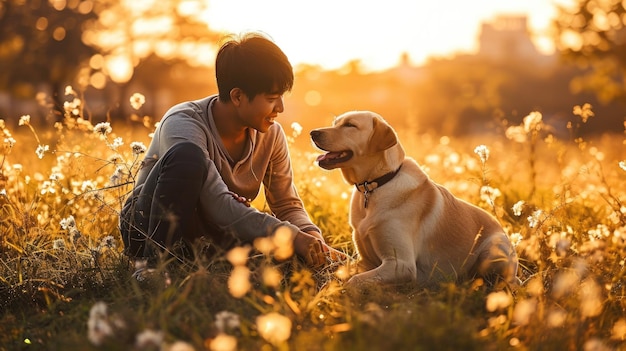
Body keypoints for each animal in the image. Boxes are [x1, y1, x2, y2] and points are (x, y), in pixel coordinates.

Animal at [308, 111, 516, 290]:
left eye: (350, 125)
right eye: (336, 123)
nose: (313, 133)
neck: (374, 186)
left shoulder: (401, 264)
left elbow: (354, 281)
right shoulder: (366, 260)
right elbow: (341, 272)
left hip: (492, 251)